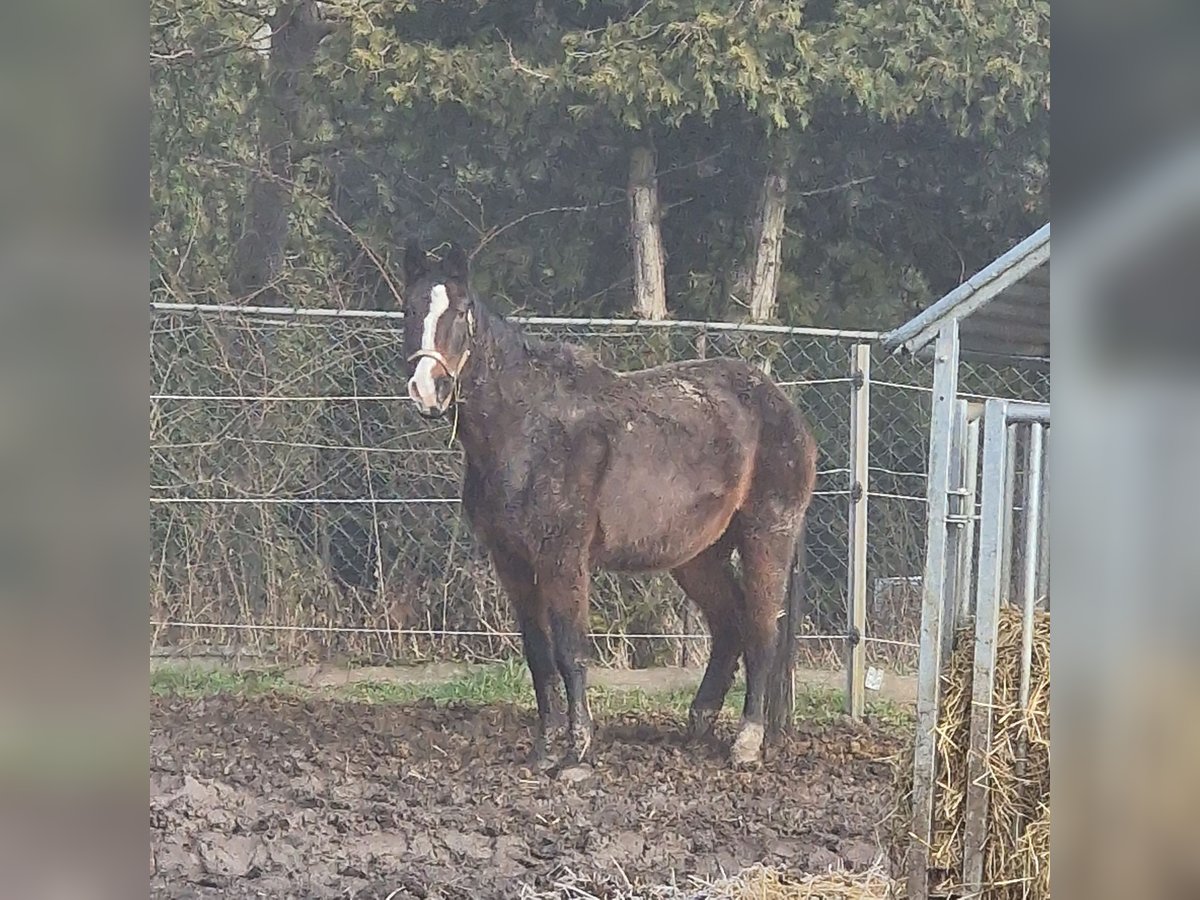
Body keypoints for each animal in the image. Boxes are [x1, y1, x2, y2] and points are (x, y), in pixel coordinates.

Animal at [400, 241, 816, 768]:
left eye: (460, 311)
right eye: (411, 309)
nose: (426, 391)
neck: (525, 427)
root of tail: (784, 406)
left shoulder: (562, 557)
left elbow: (570, 650)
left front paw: (576, 750)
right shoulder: (511, 561)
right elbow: (538, 653)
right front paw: (544, 750)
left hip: (768, 534)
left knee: (761, 629)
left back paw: (746, 740)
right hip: (698, 556)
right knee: (729, 625)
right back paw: (699, 723)